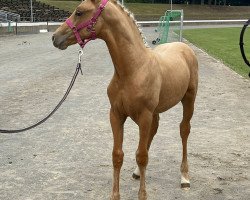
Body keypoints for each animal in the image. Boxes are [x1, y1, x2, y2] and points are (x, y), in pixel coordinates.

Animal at [51, 0, 198, 199]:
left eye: (79, 12)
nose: (55, 37)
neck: (133, 69)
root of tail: (183, 47)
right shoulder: (116, 114)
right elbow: (117, 155)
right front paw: (115, 194)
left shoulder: (144, 116)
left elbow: (142, 156)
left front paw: (142, 195)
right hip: (155, 112)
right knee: (154, 131)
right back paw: (137, 173)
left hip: (188, 99)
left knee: (184, 130)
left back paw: (184, 177)